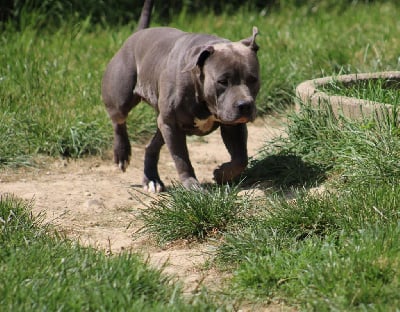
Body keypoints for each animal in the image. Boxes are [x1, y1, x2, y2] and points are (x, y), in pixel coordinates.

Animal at [101, 26, 260, 191]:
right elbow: (181, 159)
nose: (245, 105)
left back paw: (152, 179)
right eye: (222, 81)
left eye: (253, 79)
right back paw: (122, 153)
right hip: (121, 99)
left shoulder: (233, 125)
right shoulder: (172, 126)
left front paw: (221, 174)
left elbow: (241, 158)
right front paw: (192, 185)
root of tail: (136, 34)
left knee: (151, 146)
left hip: (162, 124)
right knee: (118, 121)